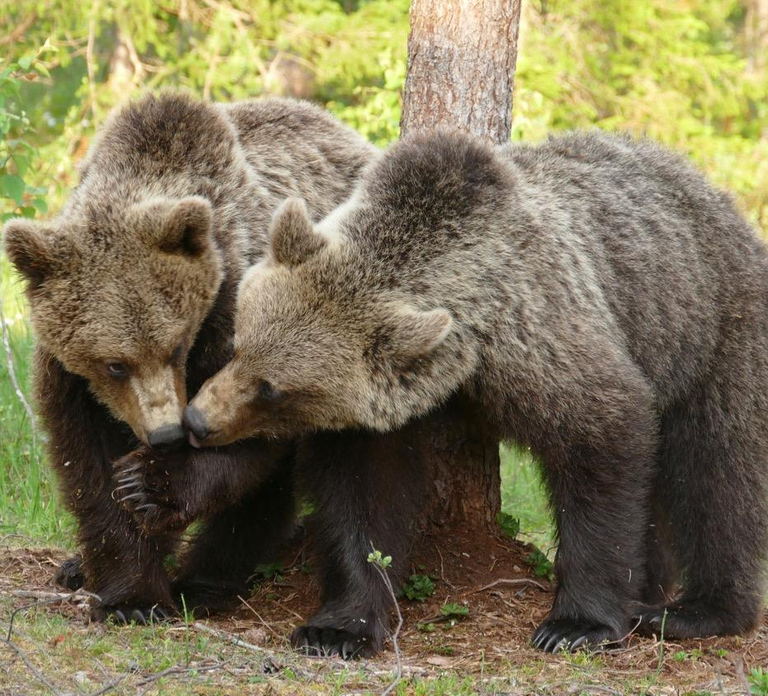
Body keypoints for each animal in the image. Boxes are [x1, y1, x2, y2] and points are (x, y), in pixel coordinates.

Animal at [2, 91, 377, 622]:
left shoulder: (240, 318)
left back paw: (208, 580)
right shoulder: (70, 378)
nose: (166, 434)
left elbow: (246, 434)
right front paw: (131, 593)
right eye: (115, 364)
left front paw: (150, 485)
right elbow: (87, 461)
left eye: (177, 345)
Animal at [182, 130, 768, 653]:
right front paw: (338, 626)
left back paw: (699, 609)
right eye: (237, 344)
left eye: (273, 390)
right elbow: (363, 498)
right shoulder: (379, 410)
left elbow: (605, 440)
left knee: (717, 472)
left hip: (710, 332)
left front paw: (575, 623)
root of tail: (720, 200)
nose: (197, 421)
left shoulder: (538, 339)